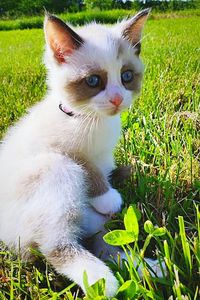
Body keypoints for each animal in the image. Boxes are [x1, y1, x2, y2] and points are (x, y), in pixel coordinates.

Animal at [0, 8, 153, 296]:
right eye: (93, 81)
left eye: (126, 76)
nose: (117, 99)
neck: (91, 120)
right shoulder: (59, 148)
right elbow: (86, 166)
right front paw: (107, 196)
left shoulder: (105, 156)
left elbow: (103, 168)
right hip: (54, 170)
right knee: (55, 245)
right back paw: (101, 282)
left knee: (99, 239)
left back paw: (152, 269)